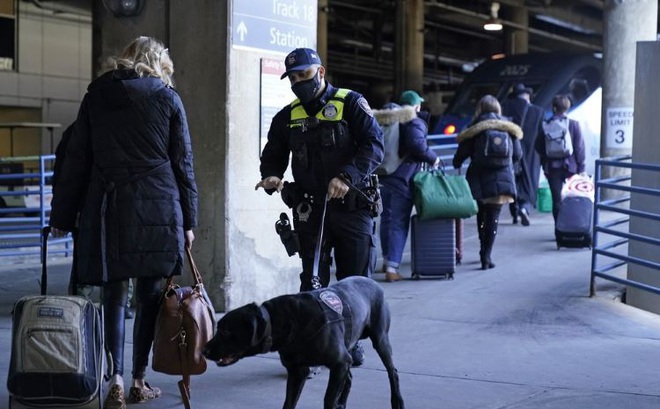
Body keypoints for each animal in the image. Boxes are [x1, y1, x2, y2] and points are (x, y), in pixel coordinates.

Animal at [204, 274, 404, 408]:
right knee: (350, 377)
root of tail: (372, 281)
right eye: (218, 328)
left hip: (380, 339)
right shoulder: (298, 371)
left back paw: (397, 401)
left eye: (226, 331)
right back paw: (342, 402)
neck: (280, 321)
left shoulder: (339, 363)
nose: (204, 350)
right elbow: (288, 403)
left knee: (392, 372)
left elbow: (328, 399)